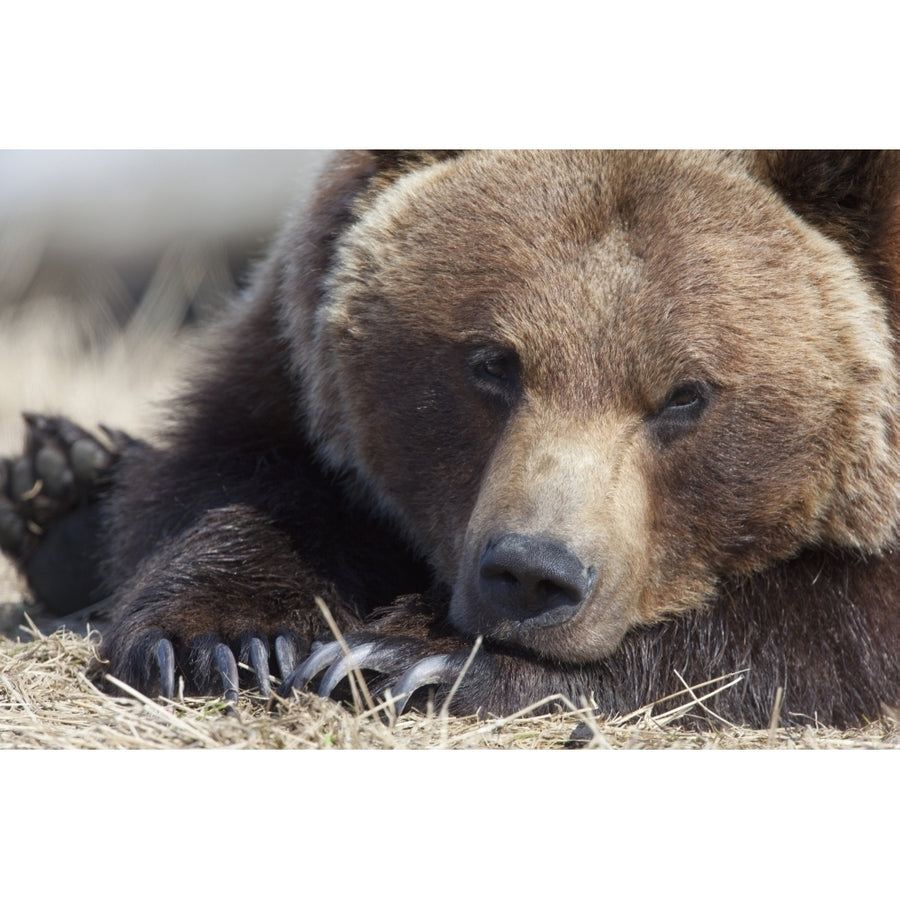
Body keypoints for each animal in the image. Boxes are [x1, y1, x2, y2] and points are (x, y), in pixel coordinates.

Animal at [1, 151, 900, 728]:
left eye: (686, 395)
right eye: (491, 362)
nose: (532, 575)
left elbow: (826, 624)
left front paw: (408, 655)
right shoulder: (292, 358)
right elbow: (239, 473)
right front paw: (227, 640)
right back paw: (61, 487)